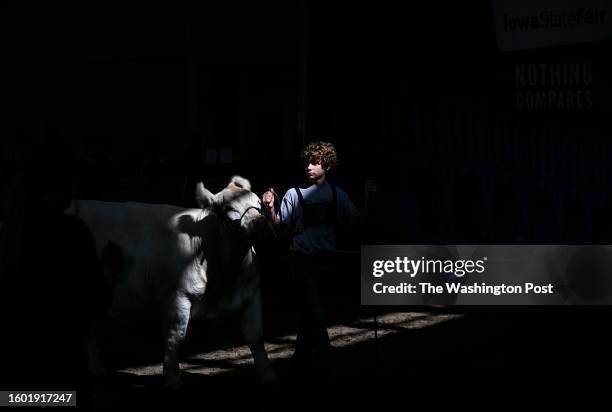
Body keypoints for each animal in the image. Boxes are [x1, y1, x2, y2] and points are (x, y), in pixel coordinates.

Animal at [65, 175, 280, 388]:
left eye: (259, 203)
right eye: (229, 208)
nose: (260, 223)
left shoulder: (252, 293)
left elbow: (255, 336)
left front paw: (268, 376)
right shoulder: (177, 296)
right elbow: (175, 337)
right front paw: (173, 378)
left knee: (88, 326)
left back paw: (98, 370)